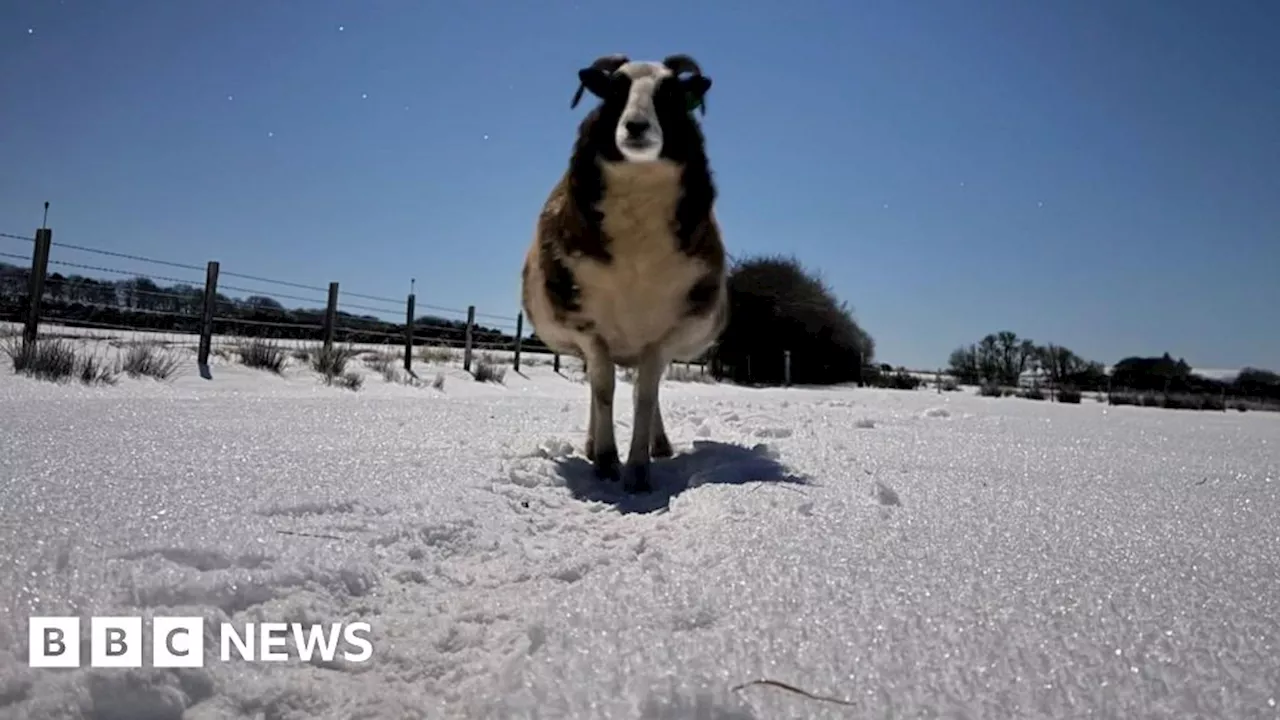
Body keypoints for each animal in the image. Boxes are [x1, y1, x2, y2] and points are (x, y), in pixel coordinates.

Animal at [517, 53, 727, 489]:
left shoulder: (664, 334)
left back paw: (658, 445)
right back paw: (592, 445)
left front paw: (638, 470)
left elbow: (645, 395)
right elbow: (603, 391)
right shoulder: (590, 328)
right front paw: (606, 460)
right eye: (615, 89)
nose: (636, 127)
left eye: (670, 93)